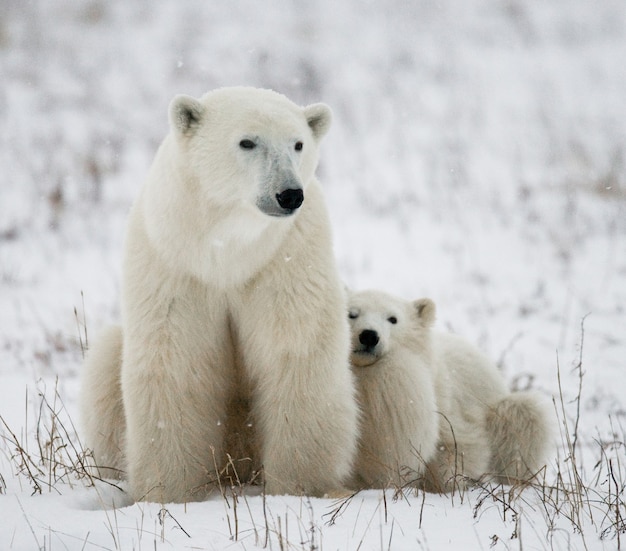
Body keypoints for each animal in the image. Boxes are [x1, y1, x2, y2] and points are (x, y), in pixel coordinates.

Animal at [80, 86, 358, 504]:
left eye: (298, 144)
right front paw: (167, 493)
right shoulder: (176, 263)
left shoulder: (285, 257)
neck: (228, 251)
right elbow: (175, 361)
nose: (289, 194)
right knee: (106, 359)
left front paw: (299, 489)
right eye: (247, 141)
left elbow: (294, 351)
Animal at [346, 292, 552, 494]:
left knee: (522, 419)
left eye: (393, 319)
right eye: (351, 314)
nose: (369, 336)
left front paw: (448, 486)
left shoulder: (444, 407)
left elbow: (458, 446)